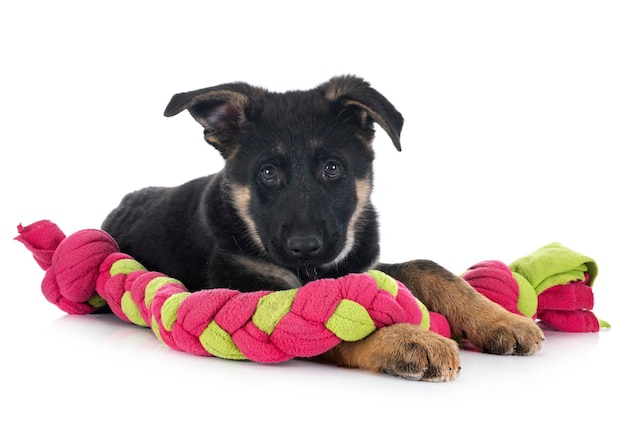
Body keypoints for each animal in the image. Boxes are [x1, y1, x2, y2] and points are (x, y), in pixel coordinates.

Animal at [102, 75, 540, 382]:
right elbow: (340, 328)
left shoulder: (356, 265)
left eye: (332, 168)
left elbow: (426, 266)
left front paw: (502, 321)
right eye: (267, 173)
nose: (305, 247)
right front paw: (409, 338)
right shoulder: (260, 297)